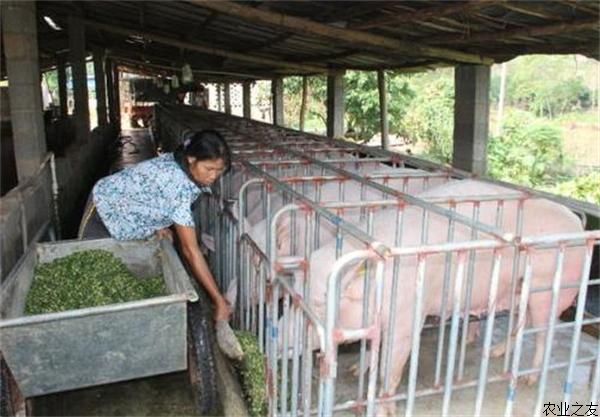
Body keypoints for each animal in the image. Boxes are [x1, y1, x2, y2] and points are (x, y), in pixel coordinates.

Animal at [284, 180, 584, 416]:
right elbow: (374, 349)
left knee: (544, 332)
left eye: (320, 302)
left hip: (549, 286)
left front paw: (384, 409)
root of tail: (578, 225)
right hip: (521, 289)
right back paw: (492, 352)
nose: (281, 341)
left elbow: (390, 368)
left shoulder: (407, 318)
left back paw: (529, 380)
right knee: (522, 323)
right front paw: (356, 370)